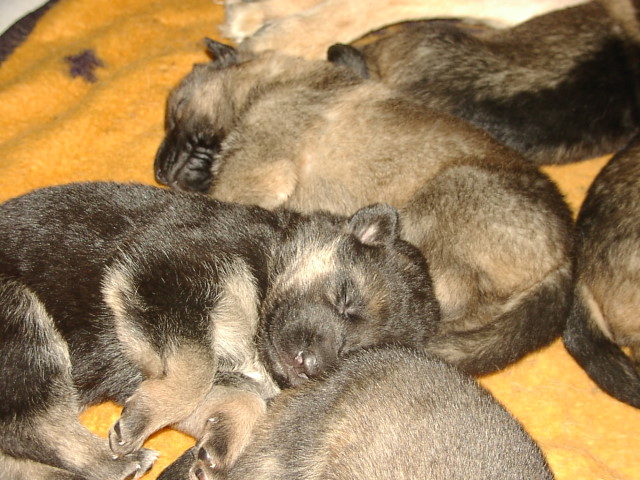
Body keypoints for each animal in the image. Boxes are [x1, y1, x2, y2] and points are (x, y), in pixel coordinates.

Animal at [0, 182, 439, 480]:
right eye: (345, 299)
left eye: (356, 352)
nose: (310, 365)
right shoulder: (168, 275)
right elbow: (195, 371)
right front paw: (143, 421)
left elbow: (238, 400)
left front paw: (218, 447)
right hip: (21, 315)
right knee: (30, 426)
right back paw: (117, 461)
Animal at [154, 40, 575, 375]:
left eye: (176, 112)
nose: (158, 170)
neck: (269, 84)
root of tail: (566, 258)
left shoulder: (255, 170)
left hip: (440, 201)